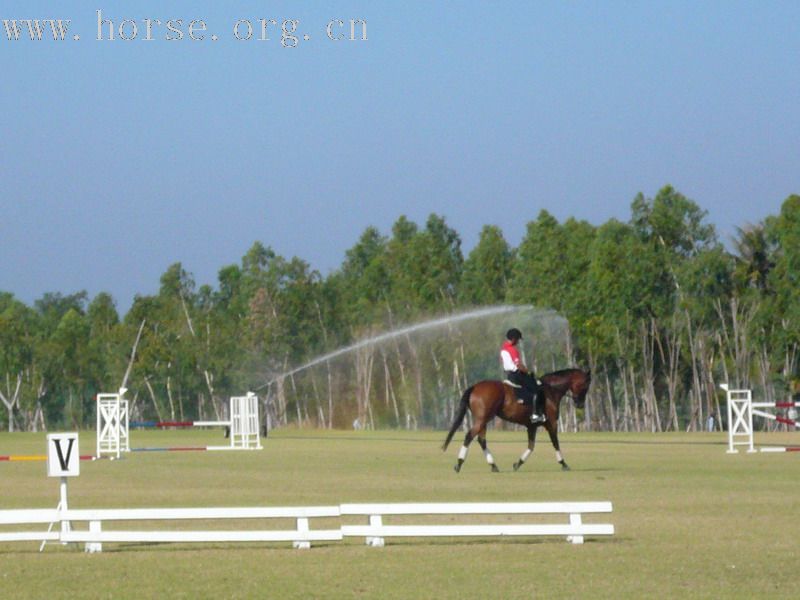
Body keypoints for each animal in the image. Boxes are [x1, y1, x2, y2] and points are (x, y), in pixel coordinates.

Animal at [440, 366, 592, 474]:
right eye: (585, 385)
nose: (580, 404)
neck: (550, 391)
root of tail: (475, 387)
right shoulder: (551, 424)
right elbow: (555, 443)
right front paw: (564, 464)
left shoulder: (532, 426)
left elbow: (531, 446)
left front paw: (517, 464)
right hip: (482, 419)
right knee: (469, 436)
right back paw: (459, 464)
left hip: (483, 420)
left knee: (481, 440)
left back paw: (493, 465)